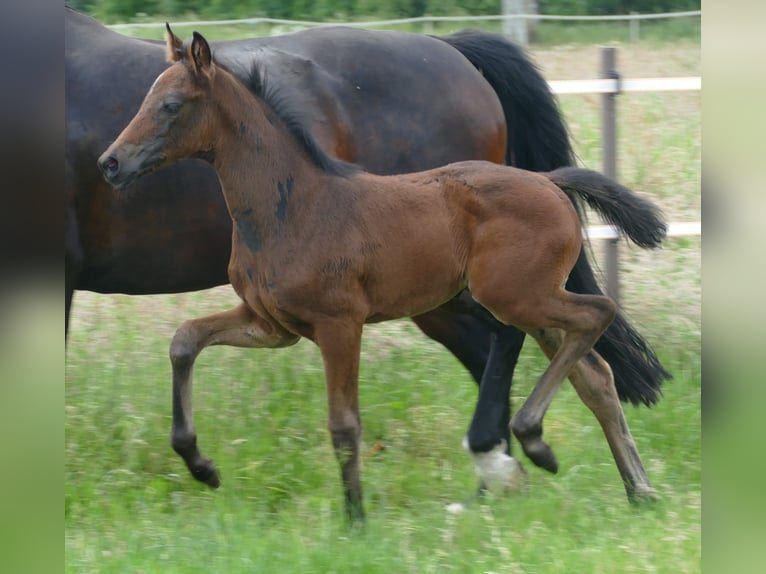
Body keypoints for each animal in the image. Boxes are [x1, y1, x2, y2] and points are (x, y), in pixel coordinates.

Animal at [66, 5, 668, 496]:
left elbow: (344, 425)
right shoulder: (272, 325)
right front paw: (201, 465)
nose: (111, 163)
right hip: (523, 299)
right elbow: (185, 340)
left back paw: (534, 443)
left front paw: (355, 518)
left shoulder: (340, 323)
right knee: (592, 372)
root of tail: (548, 181)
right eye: (143, 98)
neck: (293, 202)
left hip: (511, 296)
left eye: (170, 105)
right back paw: (634, 489)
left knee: (589, 317)